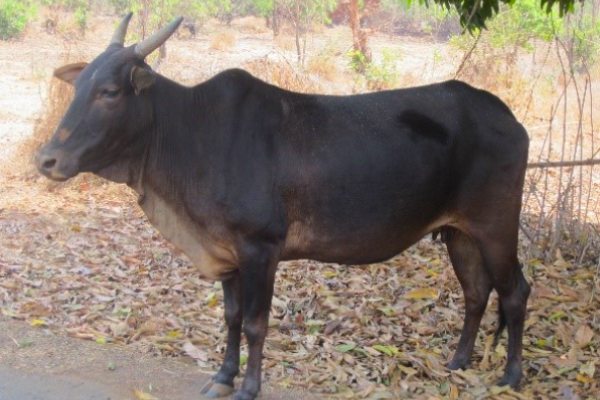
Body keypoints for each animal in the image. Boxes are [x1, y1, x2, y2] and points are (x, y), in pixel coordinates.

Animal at [36, 13, 528, 400]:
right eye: (78, 86)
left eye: (109, 91)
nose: (47, 160)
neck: (189, 134)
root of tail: (506, 115)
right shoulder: (226, 252)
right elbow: (232, 317)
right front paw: (223, 377)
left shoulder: (261, 248)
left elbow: (256, 323)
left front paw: (249, 388)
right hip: (460, 233)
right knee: (476, 293)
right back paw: (458, 361)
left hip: (497, 227)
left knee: (515, 292)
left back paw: (511, 376)